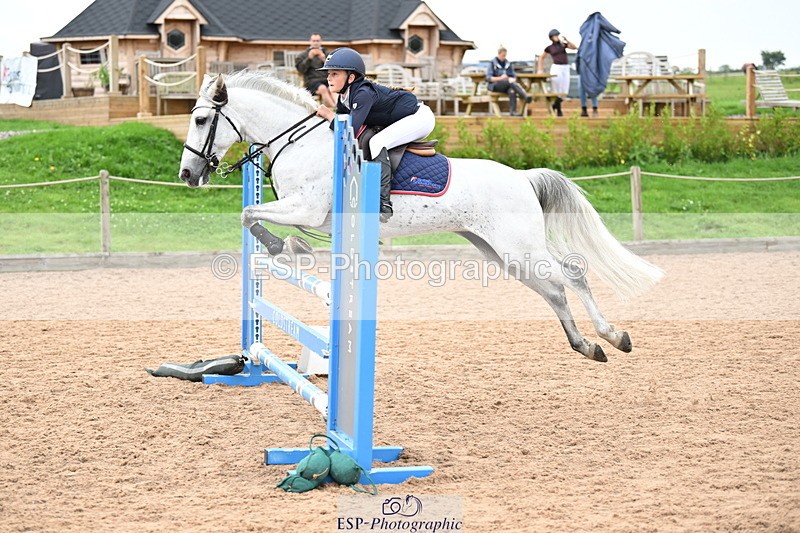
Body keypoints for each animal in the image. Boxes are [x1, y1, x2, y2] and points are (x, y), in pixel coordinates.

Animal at [178, 71, 663, 362]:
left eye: (201, 120)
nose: (187, 175)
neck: (299, 142)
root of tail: (523, 178)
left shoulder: (308, 208)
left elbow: (249, 213)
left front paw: (284, 246)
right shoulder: (311, 214)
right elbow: (254, 215)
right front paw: (291, 246)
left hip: (518, 246)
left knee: (572, 276)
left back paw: (612, 336)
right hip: (501, 252)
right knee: (554, 289)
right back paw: (585, 345)